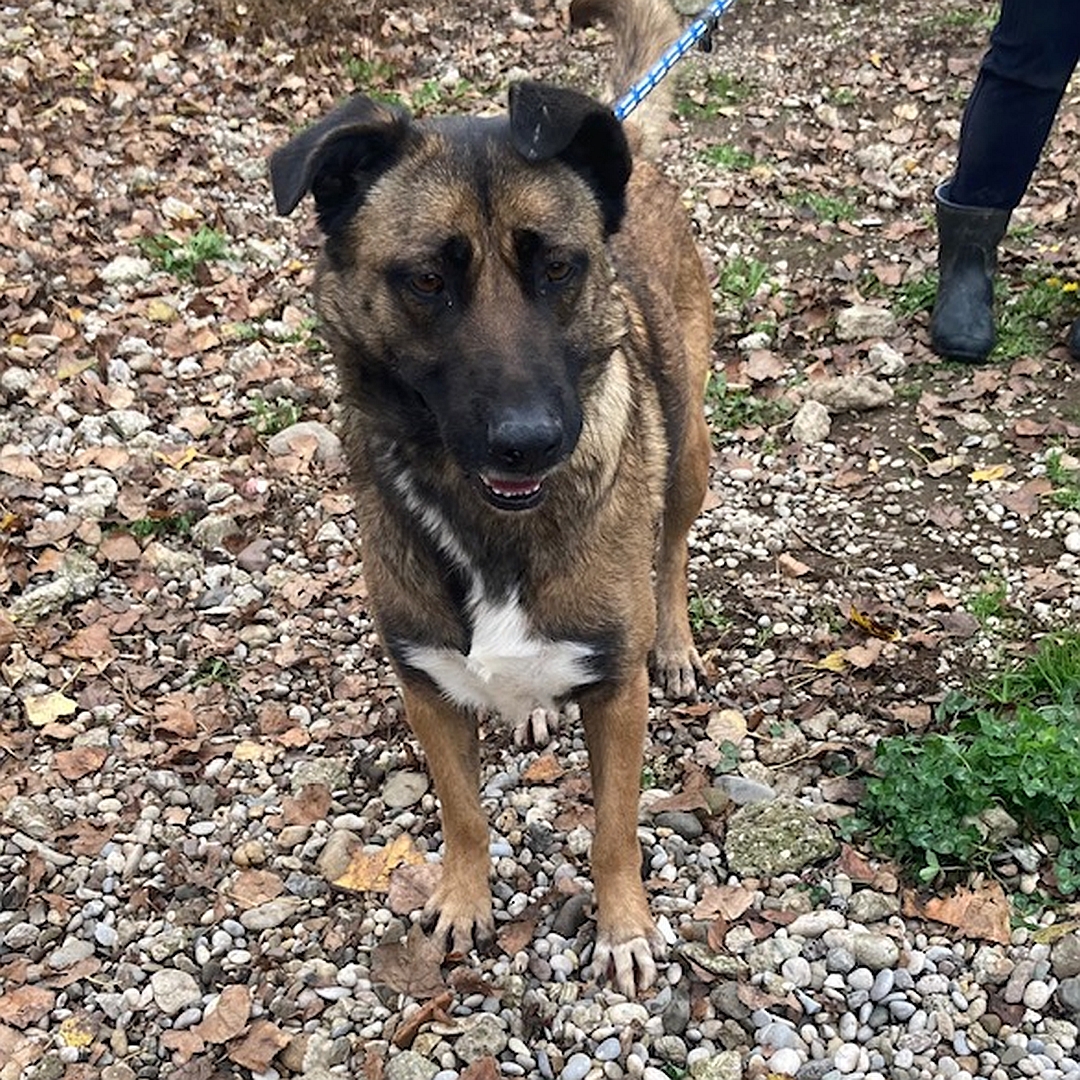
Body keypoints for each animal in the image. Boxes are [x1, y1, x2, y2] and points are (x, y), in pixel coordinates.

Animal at [266, 0, 712, 993]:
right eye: (428, 279)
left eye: (559, 269)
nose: (529, 439)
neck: (490, 525)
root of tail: (627, 140)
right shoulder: (425, 684)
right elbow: (462, 814)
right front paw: (464, 900)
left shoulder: (615, 692)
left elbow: (615, 829)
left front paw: (624, 927)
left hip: (690, 451)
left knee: (671, 550)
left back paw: (675, 640)